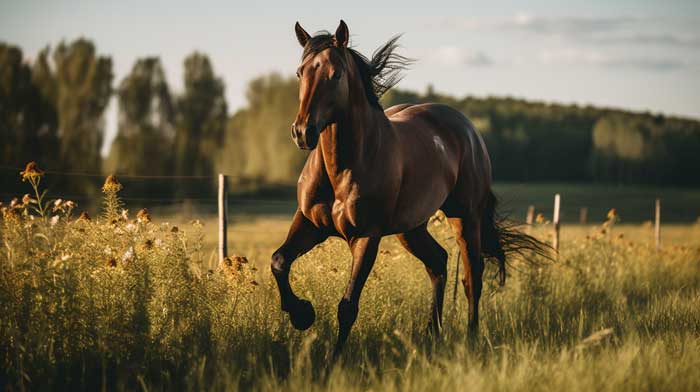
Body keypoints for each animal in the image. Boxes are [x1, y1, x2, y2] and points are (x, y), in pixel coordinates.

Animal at [270, 19, 548, 358]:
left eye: (335, 74)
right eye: (300, 72)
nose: (302, 132)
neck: (343, 167)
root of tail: (468, 128)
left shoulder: (367, 237)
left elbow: (347, 305)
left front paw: (333, 360)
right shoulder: (310, 224)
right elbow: (279, 262)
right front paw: (302, 314)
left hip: (464, 218)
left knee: (472, 276)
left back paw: (470, 338)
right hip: (411, 228)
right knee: (438, 262)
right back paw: (432, 334)